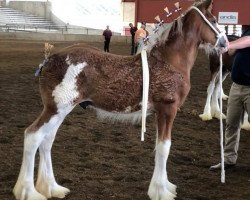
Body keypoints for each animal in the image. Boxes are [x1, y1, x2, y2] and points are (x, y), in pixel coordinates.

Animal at [12, 0, 228, 199]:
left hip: (60, 111)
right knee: (33, 136)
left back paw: (52, 187)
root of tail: (49, 59)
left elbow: (160, 146)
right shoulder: (168, 109)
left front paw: (165, 185)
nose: (225, 44)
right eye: (214, 20)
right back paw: (28, 192)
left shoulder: (160, 112)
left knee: (46, 140)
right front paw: (160, 191)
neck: (170, 61)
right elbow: (164, 148)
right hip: (56, 109)